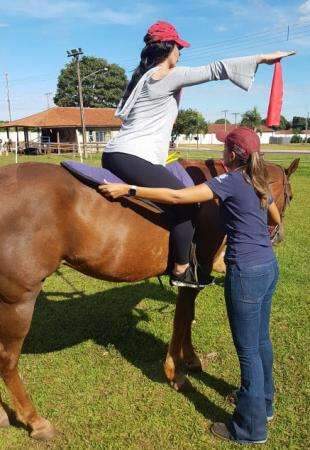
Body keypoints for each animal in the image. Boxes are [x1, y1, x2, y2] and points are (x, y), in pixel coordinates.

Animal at [0, 156, 300, 438]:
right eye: (290, 196)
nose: (278, 236)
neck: (214, 195)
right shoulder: (195, 272)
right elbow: (182, 319)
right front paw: (176, 372)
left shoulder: (193, 278)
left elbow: (187, 316)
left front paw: (190, 359)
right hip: (18, 301)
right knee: (8, 359)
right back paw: (35, 420)